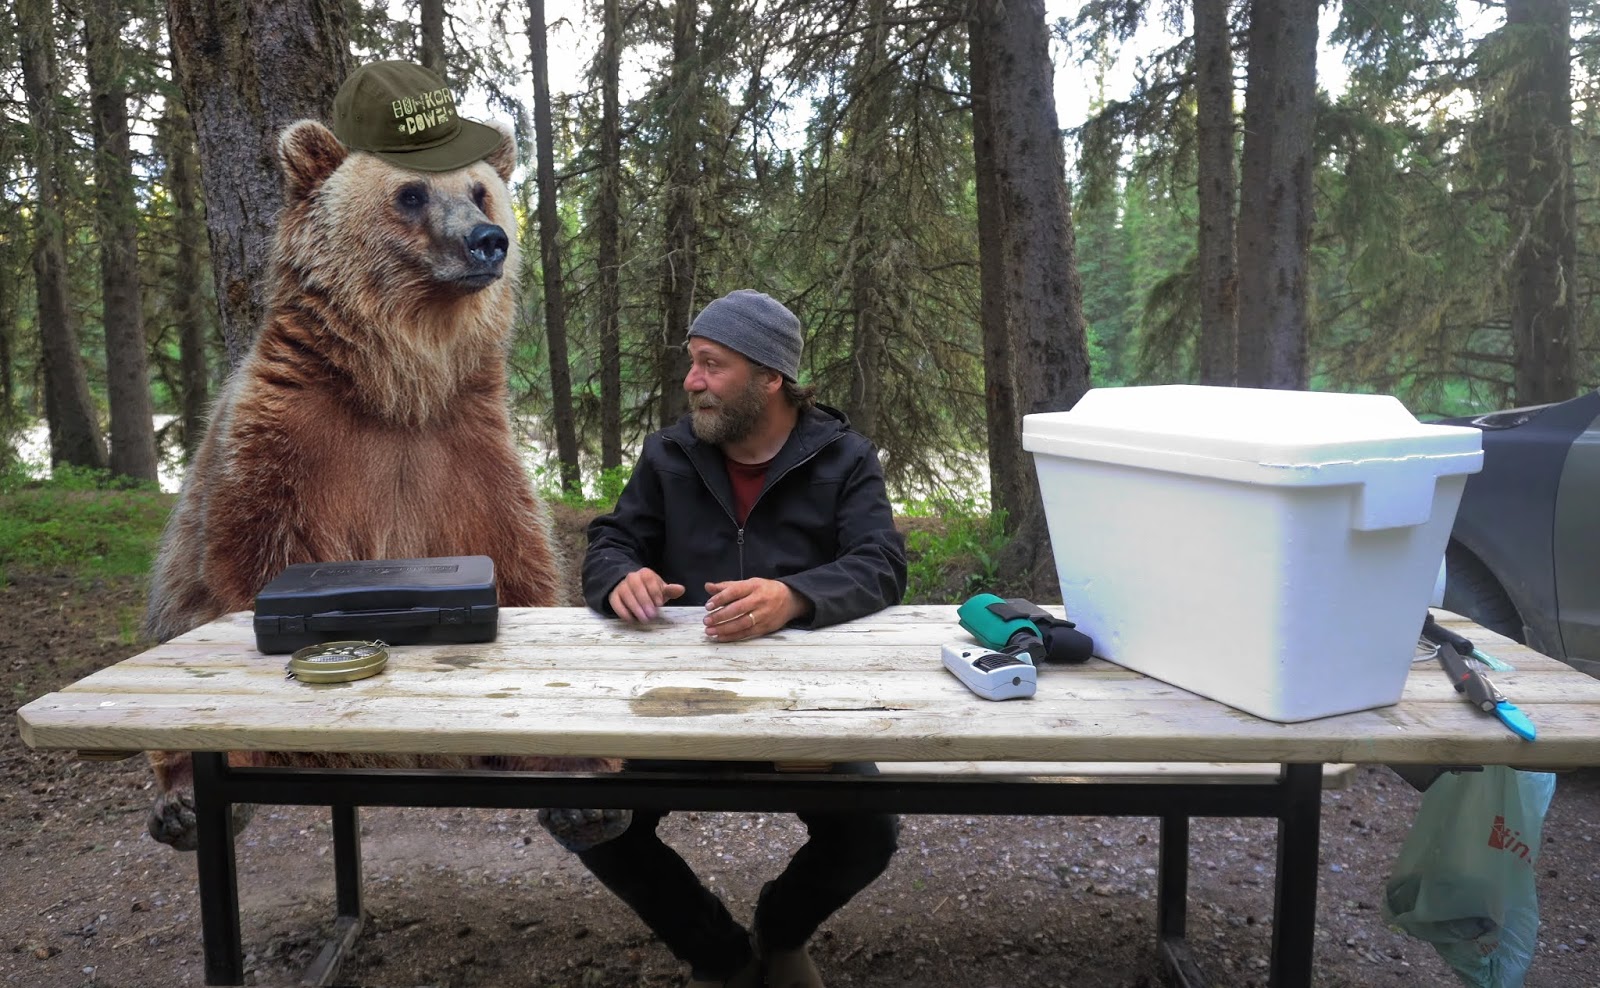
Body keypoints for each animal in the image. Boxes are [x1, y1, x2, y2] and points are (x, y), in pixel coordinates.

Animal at [141, 111, 621, 851]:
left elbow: (521, 568)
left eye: (480, 192)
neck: (399, 386)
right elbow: (245, 560)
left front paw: (582, 787)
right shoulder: (286, 442)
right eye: (411, 193)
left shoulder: (465, 454)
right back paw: (183, 802)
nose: (487, 242)